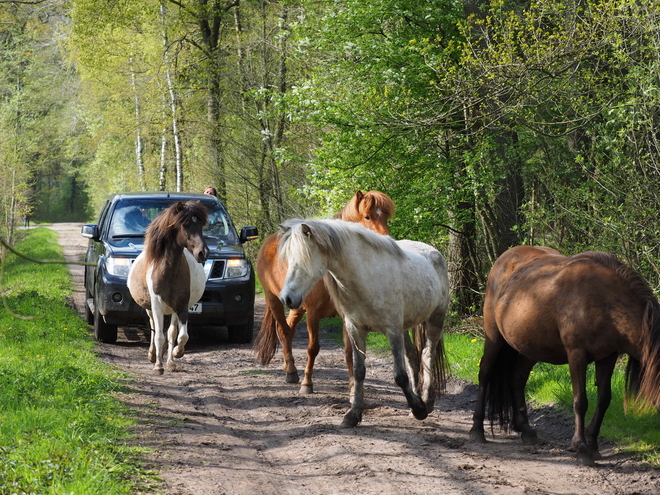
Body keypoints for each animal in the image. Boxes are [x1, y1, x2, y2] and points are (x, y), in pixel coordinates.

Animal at [127, 202, 210, 376]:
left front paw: (177, 353)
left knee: (172, 332)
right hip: (150, 308)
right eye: (185, 225)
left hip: (173, 309)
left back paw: (171, 362)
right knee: (153, 327)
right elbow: (159, 336)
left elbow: (182, 336)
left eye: (200, 225)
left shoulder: (182, 305)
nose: (203, 253)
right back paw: (153, 355)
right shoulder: (157, 304)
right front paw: (158, 366)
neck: (168, 271)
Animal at [255, 192, 394, 394]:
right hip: (274, 300)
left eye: (385, 217)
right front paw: (307, 383)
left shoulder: (347, 315)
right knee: (283, 330)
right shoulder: (313, 313)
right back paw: (291, 372)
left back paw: (288, 367)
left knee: (289, 330)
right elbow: (313, 348)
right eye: (367, 217)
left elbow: (349, 351)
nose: (387, 243)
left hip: (296, 306)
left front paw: (353, 385)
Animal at [276, 219, 452, 428]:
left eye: (304, 259)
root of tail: (434, 251)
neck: (366, 278)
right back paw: (417, 399)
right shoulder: (356, 330)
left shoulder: (392, 331)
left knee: (427, 354)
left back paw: (426, 402)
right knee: (412, 355)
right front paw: (353, 414)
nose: (286, 298)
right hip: (406, 327)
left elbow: (399, 376)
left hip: (435, 318)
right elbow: (359, 371)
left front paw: (419, 410)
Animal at [466, 246, 660, 466]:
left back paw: (526, 430)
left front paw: (593, 444)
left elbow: (603, 399)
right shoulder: (576, 355)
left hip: (529, 347)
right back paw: (477, 430)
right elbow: (580, 401)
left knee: (516, 379)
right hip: (494, 337)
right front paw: (582, 448)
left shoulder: (608, 356)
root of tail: (505, 257)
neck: (603, 300)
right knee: (485, 374)